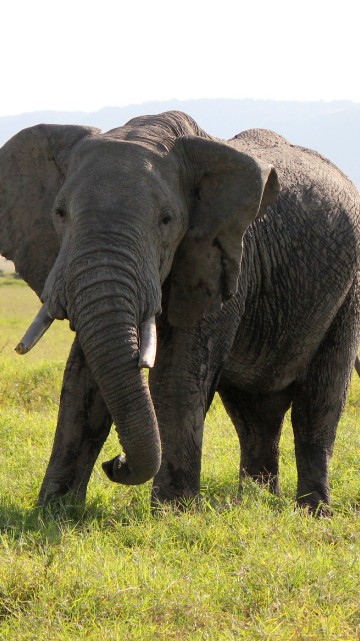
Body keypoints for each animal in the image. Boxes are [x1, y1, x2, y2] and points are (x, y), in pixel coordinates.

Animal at [0, 109, 358, 510]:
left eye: (166, 220)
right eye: (60, 213)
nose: (116, 462)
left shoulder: (223, 260)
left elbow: (177, 375)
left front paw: (173, 512)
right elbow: (82, 378)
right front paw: (54, 511)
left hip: (347, 291)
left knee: (319, 402)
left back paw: (312, 512)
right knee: (254, 414)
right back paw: (253, 503)